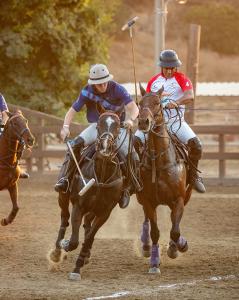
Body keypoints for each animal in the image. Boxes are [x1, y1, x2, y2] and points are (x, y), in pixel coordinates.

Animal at [136, 85, 192, 274]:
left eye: (157, 103)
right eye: (140, 103)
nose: (143, 122)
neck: (160, 163)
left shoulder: (179, 199)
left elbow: (175, 230)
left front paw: (177, 247)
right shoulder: (148, 200)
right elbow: (155, 231)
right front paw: (154, 262)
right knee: (146, 221)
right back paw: (145, 246)